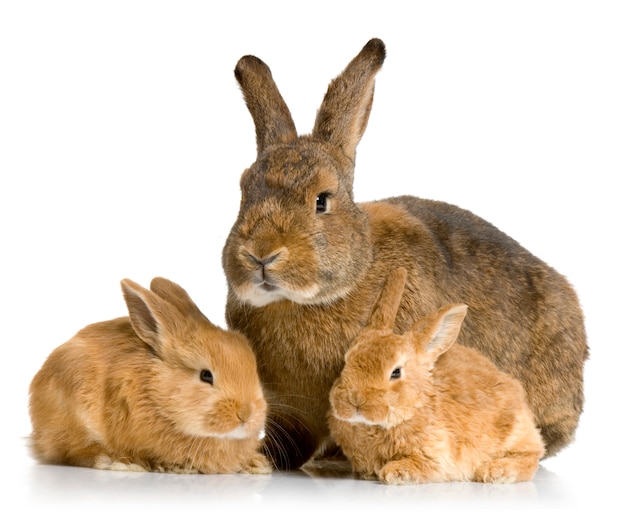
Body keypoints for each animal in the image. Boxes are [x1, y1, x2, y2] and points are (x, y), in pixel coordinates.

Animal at [28, 278, 270, 478]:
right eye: (205, 375)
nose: (246, 414)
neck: (155, 394)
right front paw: (176, 467)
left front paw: (256, 463)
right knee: (73, 452)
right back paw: (117, 461)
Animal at [330, 268, 544, 488]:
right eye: (346, 361)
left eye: (396, 372)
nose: (355, 401)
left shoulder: (436, 456)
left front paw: (394, 472)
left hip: (513, 434)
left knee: (532, 456)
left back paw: (494, 472)